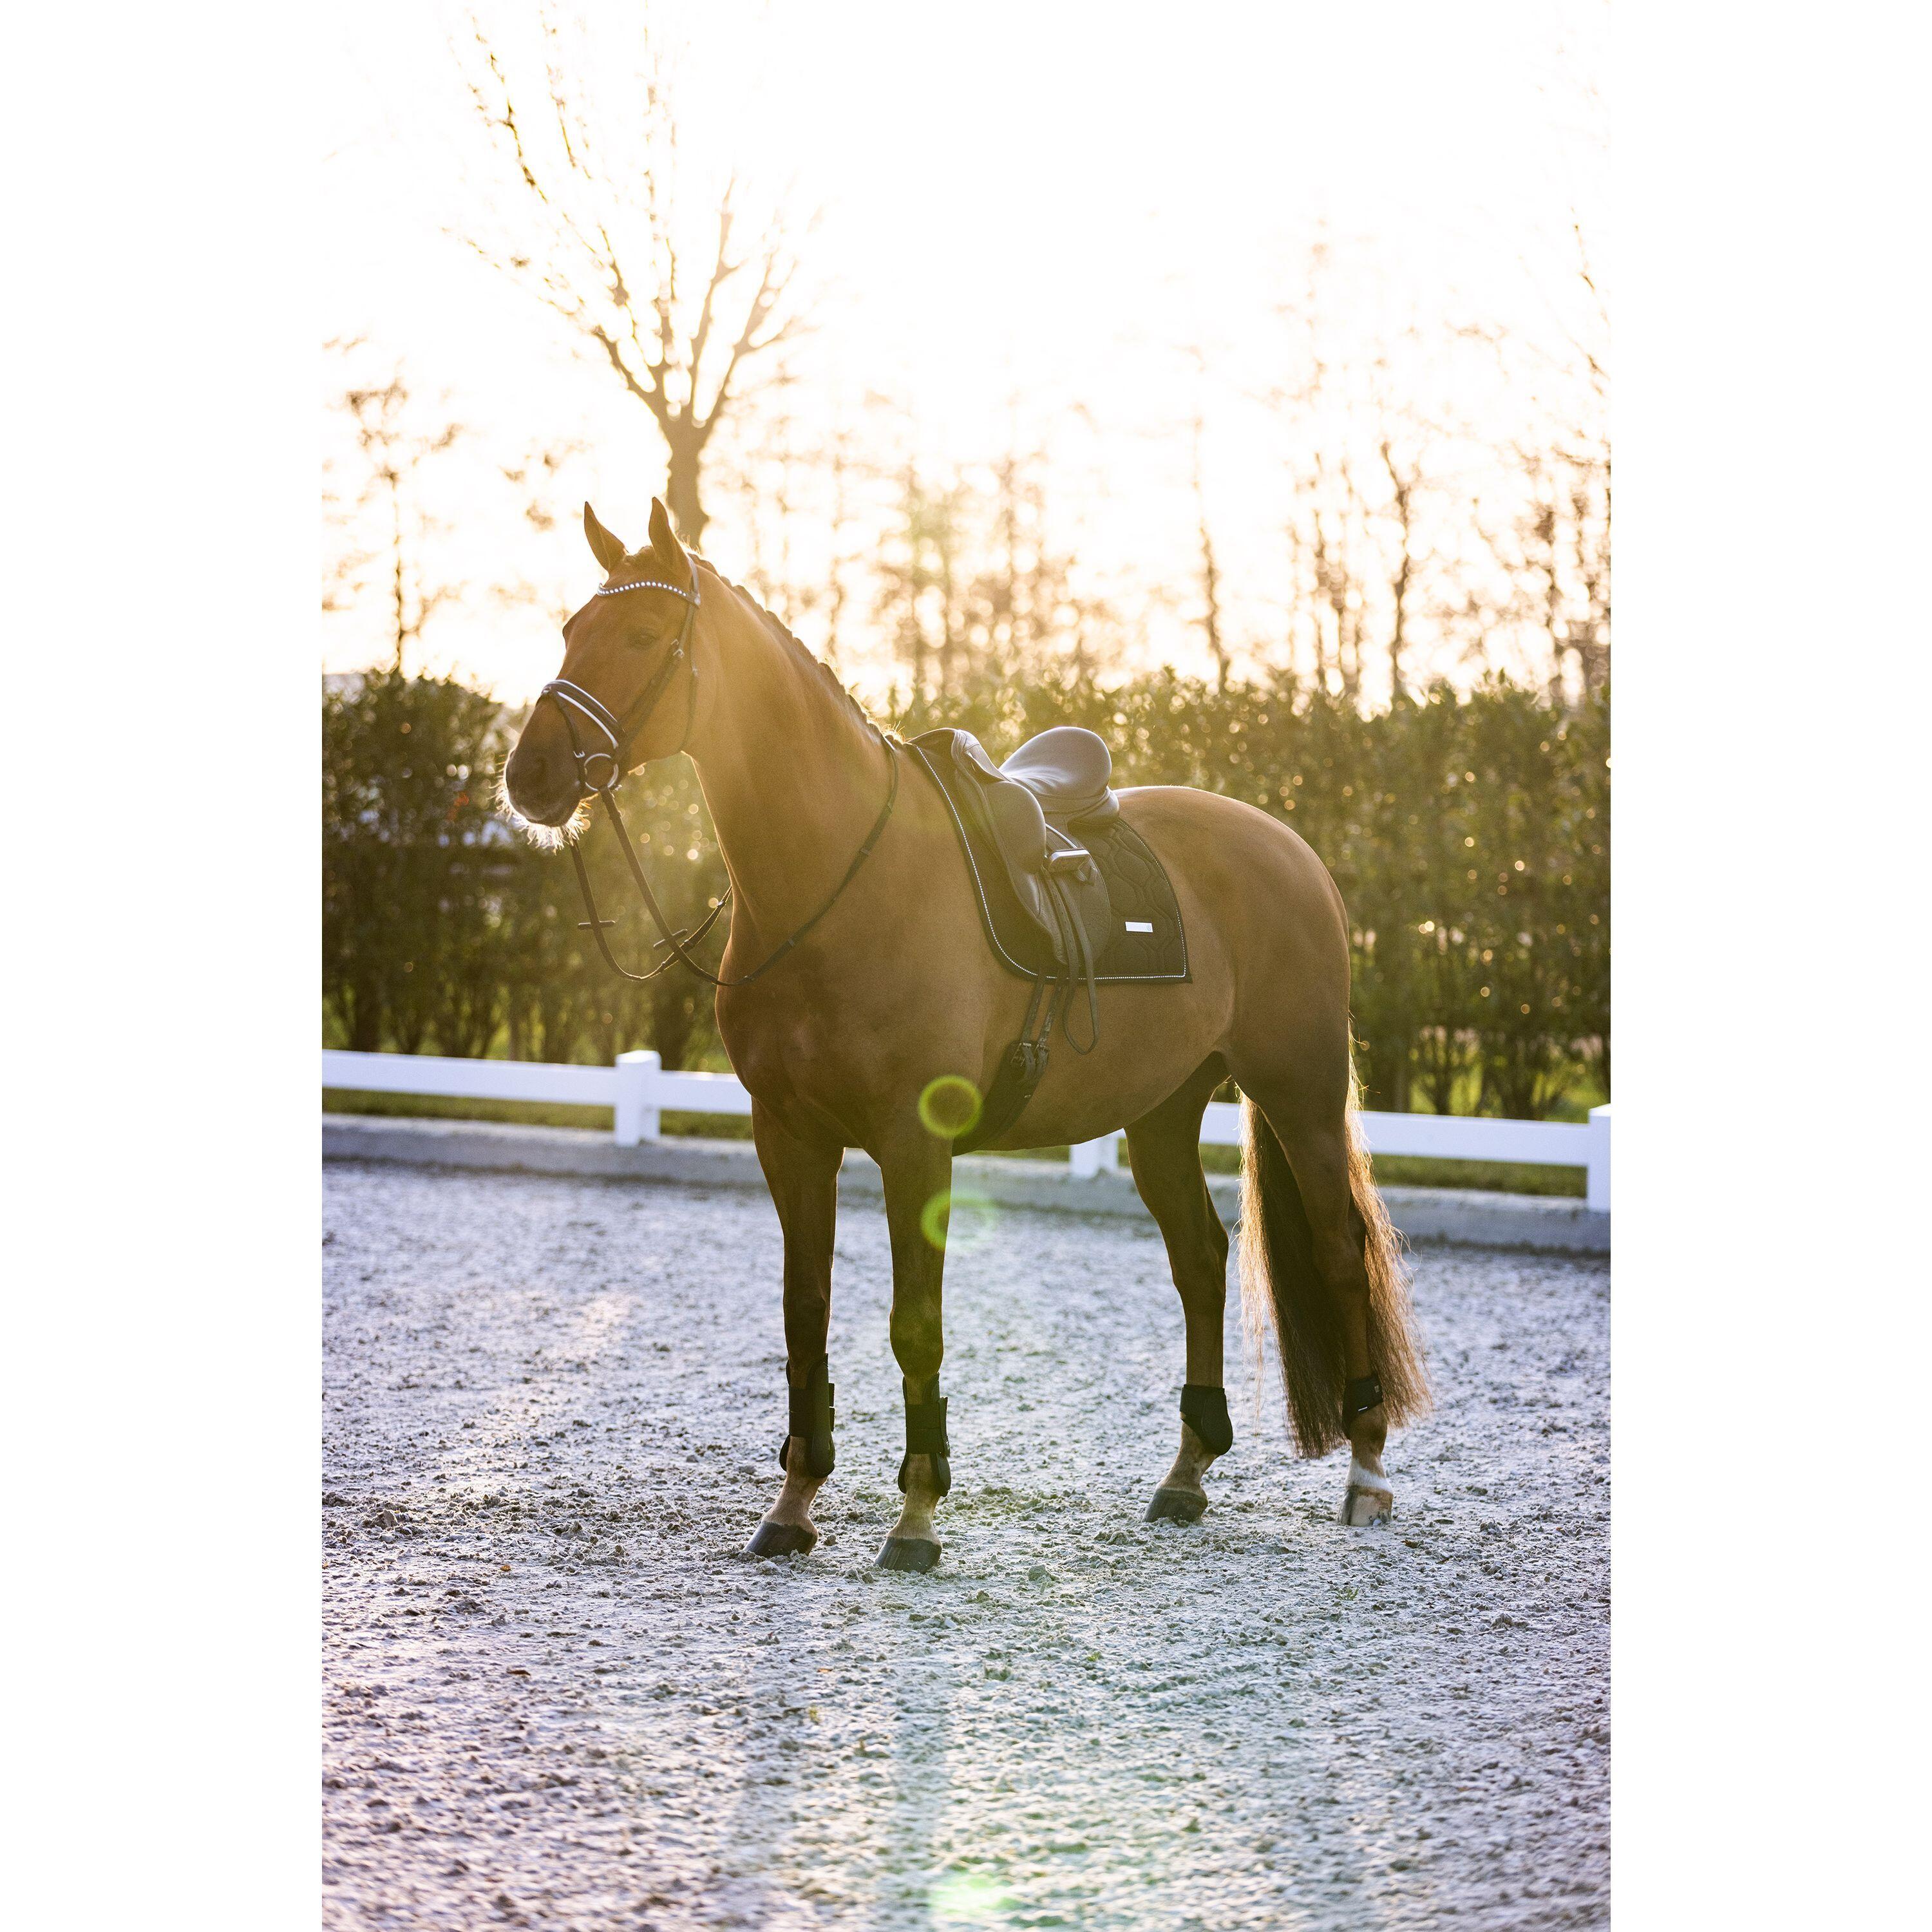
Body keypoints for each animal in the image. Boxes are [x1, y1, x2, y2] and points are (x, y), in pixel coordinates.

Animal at [502, 498, 1429, 1571]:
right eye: (572, 628)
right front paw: (795, 1504)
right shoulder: (789, 1137)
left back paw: (1367, 1471)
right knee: (1200, 1257)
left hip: (1299, 1091)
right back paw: (1187, 1473)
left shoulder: (915, 1144)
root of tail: (1291, 848)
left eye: (647, 635)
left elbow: (916, 1326)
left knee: (1339, 1248)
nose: (528, 775)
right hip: (1163, 1110)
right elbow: (805, 1311)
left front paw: (915, 1518)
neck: (839, 877)